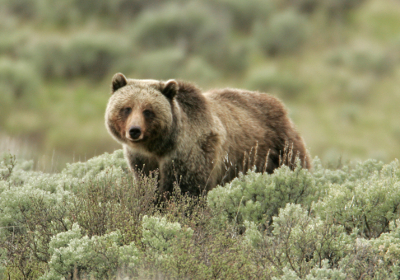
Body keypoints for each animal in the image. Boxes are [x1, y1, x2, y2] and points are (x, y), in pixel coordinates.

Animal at [104, 73, 310, 196]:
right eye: (126, 108)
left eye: (148, 111)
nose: (134, 131)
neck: (159, 146)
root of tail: (280, 105)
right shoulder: (142, 160)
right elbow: (149, 184)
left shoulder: (191, 152)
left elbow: (186, 190)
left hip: (279, 148)